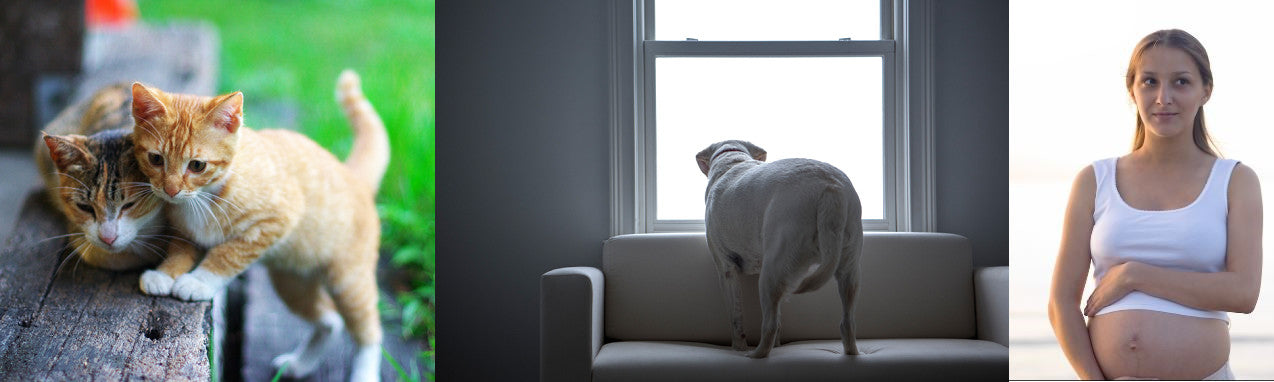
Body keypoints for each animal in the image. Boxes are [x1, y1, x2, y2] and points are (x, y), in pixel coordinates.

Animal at [129, 71, 389, 382]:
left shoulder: (276, 219)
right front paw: (165, 273)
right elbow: (179, 251)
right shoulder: (184, 231)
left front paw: (199, 281)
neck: (202, 197)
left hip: (349, 280)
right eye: (155, 159)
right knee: (330, 320)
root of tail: (353, 176)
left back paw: (364, 372)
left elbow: (227, 254)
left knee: (369, 332)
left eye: (197, 165)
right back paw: (300, 364)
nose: (170, 190)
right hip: (291, 282)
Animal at [698, 140, 866, 359]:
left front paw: (738, 348)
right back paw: (852, 353)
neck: (732, 159)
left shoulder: (726, 270)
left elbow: (736, 318)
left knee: (769, 325)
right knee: (847, 323)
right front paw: (777, 345)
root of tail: (831, 189)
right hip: (849, 270)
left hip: (771, 274)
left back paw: (755, 354)